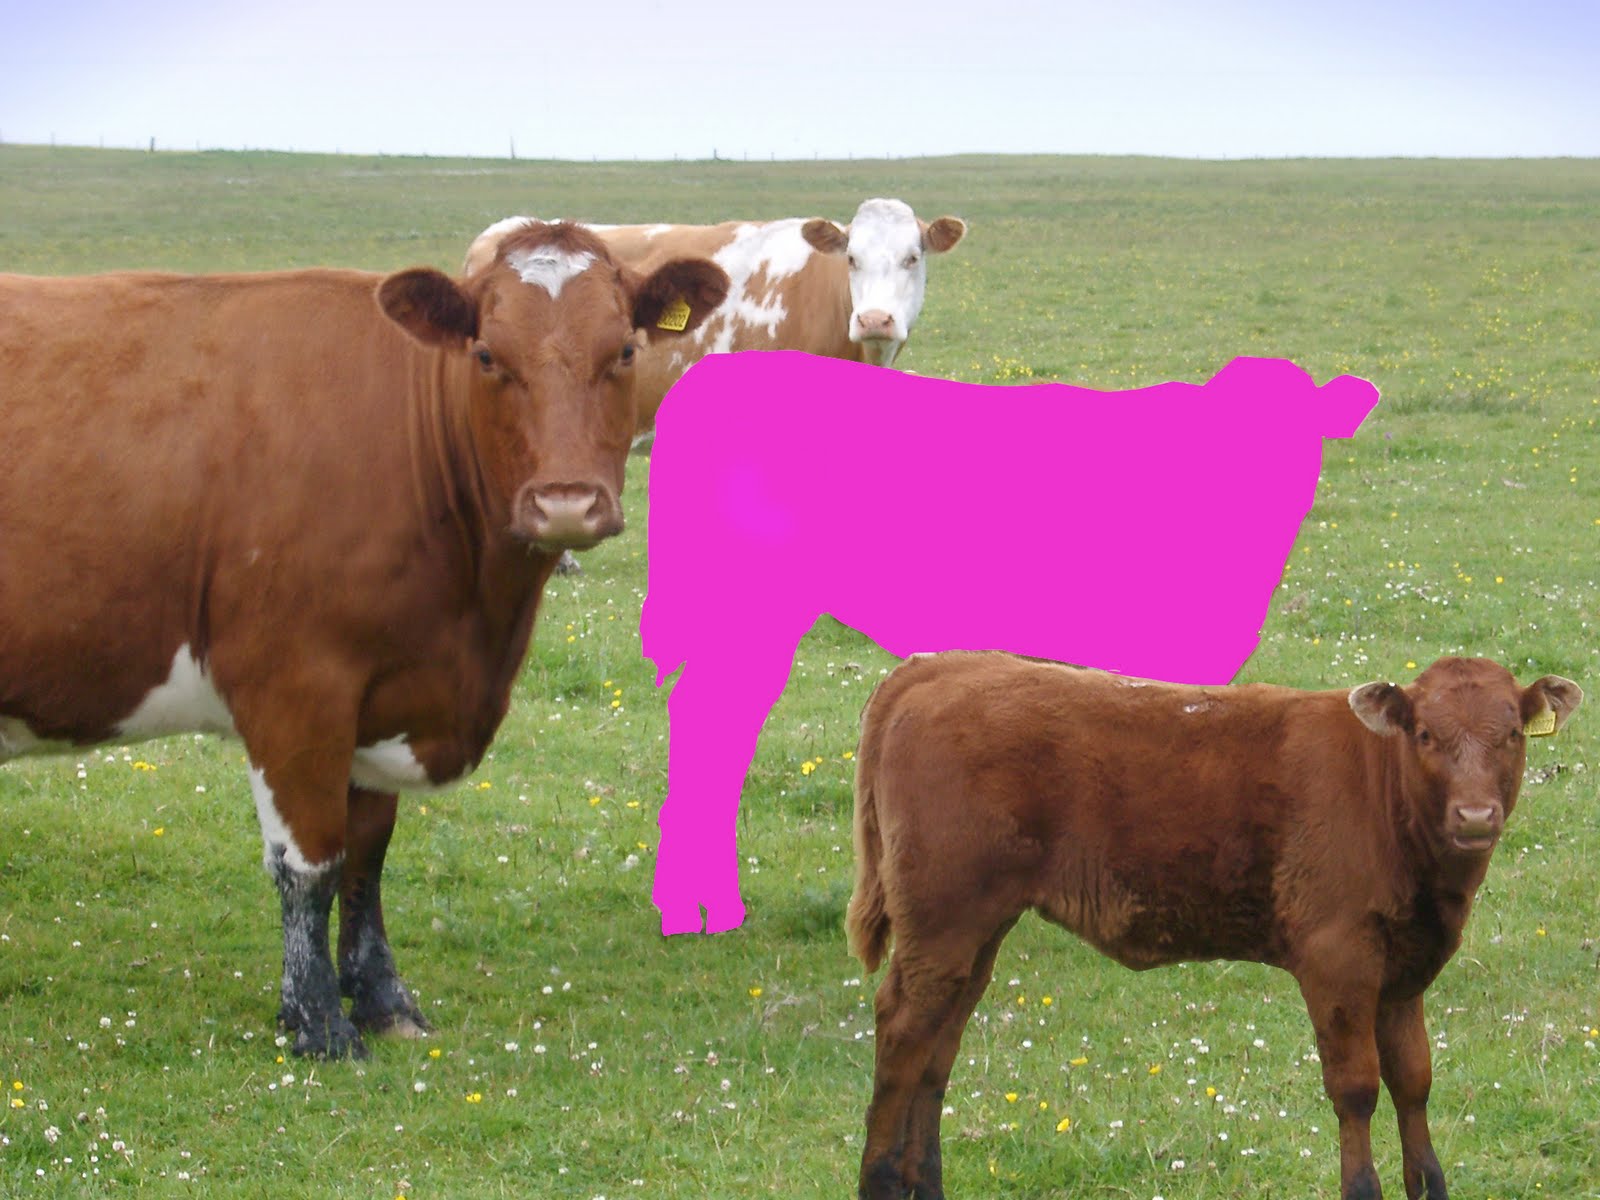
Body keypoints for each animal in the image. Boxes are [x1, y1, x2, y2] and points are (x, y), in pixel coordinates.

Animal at [0, 223, 728, 1058]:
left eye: (625, 351)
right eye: (487, 355)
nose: (568, 503)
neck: (472, 625)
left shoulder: (388, 694)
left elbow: (367, 860)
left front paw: (382, 999)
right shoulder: (295, 688)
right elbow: (310, 864)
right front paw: (317, 1021)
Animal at [846, 650, 1582, 1200]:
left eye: (1511, 734)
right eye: (1426, 735)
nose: (1476, 816)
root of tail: (942, 667)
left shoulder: (1404, 970)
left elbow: (1414, 1079)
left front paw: (1430, 1185)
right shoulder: (1337, 957)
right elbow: (1356, 1089)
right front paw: (1362, 1188)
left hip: (974, 932)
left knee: (937, 1050)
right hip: (941, 920)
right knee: (901, 1034)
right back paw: (879, 1183)